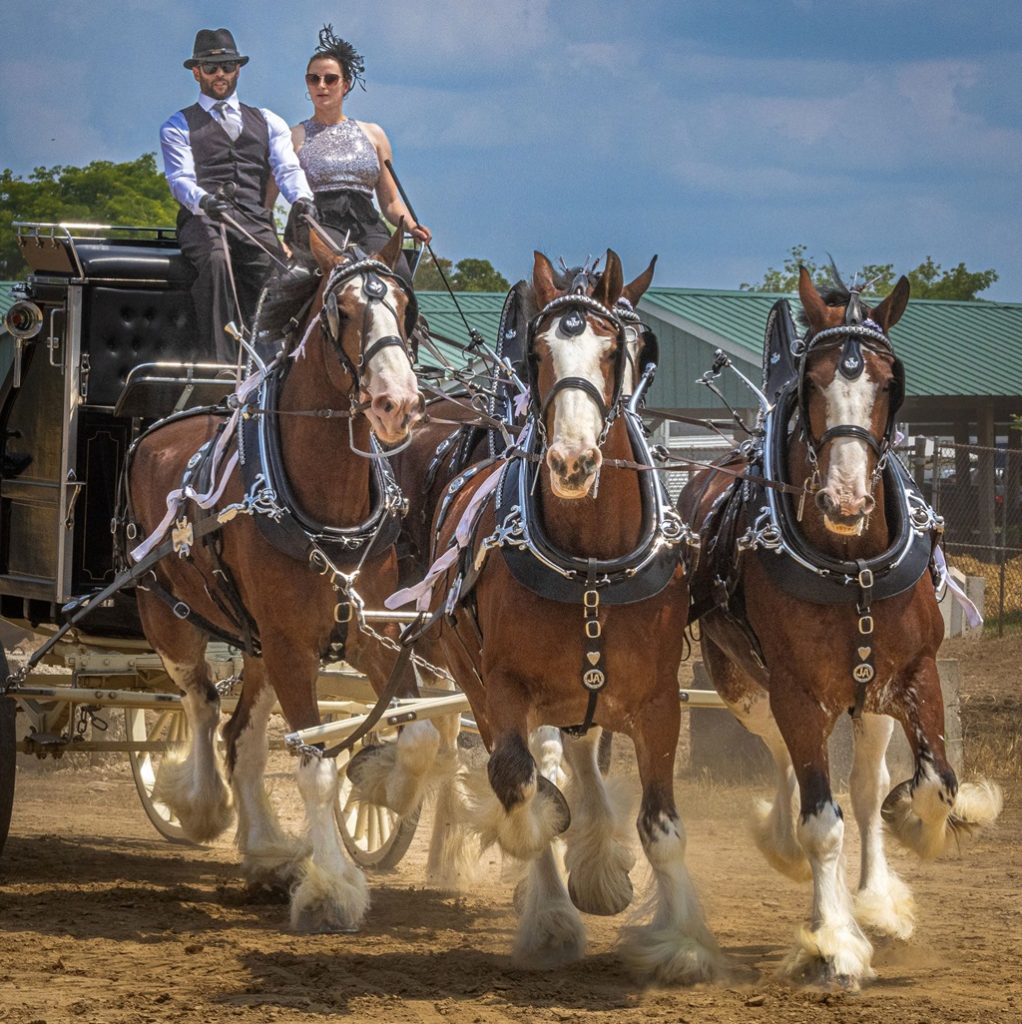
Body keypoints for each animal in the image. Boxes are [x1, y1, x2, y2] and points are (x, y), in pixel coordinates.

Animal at [125, 227, 445, 933]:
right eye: (342, 312)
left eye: (405, 310)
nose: (398, 404)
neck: (328, 507)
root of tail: (157, 430)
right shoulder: (295, 648)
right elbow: (314, 767)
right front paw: (334, 888)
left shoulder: (372, 635)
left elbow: (418, 732)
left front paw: (379, 778)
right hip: (170, 617)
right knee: (200, 705)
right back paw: (204, 806)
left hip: (258, 644)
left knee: (241, 736)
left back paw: (268, 850)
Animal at [393, 249, 722, 979]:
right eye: (537, 352)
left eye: (622, 348)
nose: (573, 461)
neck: (589, 561)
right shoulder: (504, 690)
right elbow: (523, 792)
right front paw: (548, 914)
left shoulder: (659, 701)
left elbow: (662, 826)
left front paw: (682, 942)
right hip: (481, 687)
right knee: (534, 767)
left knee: (578, 752)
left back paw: (600, 862)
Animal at [678, 266, 1002, 988]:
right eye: (813, 382)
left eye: (887, 381)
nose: (847, 499)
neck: (850, 563)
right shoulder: (796, 691)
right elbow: (821, 821)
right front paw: (834, 942)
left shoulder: (913, 676)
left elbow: (934, 784)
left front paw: (911, 837)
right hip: (745, 685)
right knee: (786, 764)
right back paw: (787, 848)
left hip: (867, 695)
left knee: (863, 783)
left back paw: (876, 895)